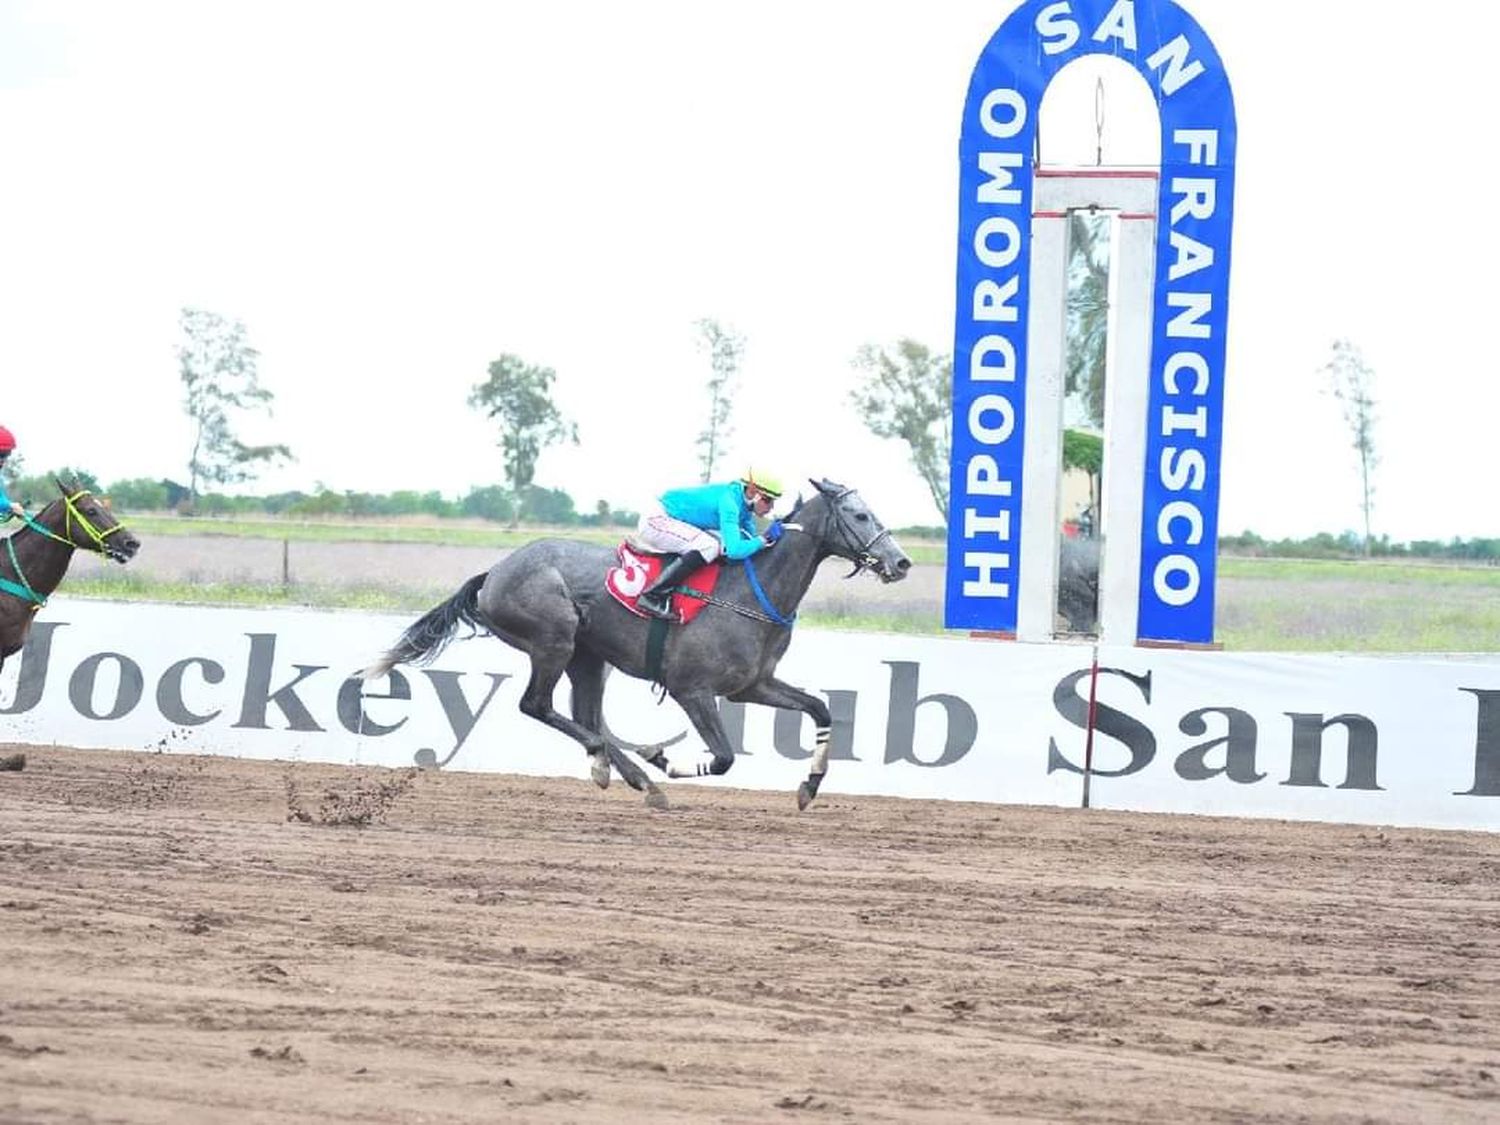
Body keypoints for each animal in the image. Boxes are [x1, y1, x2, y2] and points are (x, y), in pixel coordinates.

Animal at [360, 480, 912, 804]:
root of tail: (494, 572)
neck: (752, 590)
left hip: (588, 657)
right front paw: (660, 757)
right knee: (538, 706)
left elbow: (820, 709)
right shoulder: (693, 689)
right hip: (553, 641)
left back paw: (623, 772)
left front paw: (809, 786)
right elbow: (725, 757)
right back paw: (623, 766)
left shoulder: (752, 686)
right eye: (859, 516)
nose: (901, 562)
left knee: (584, 715)